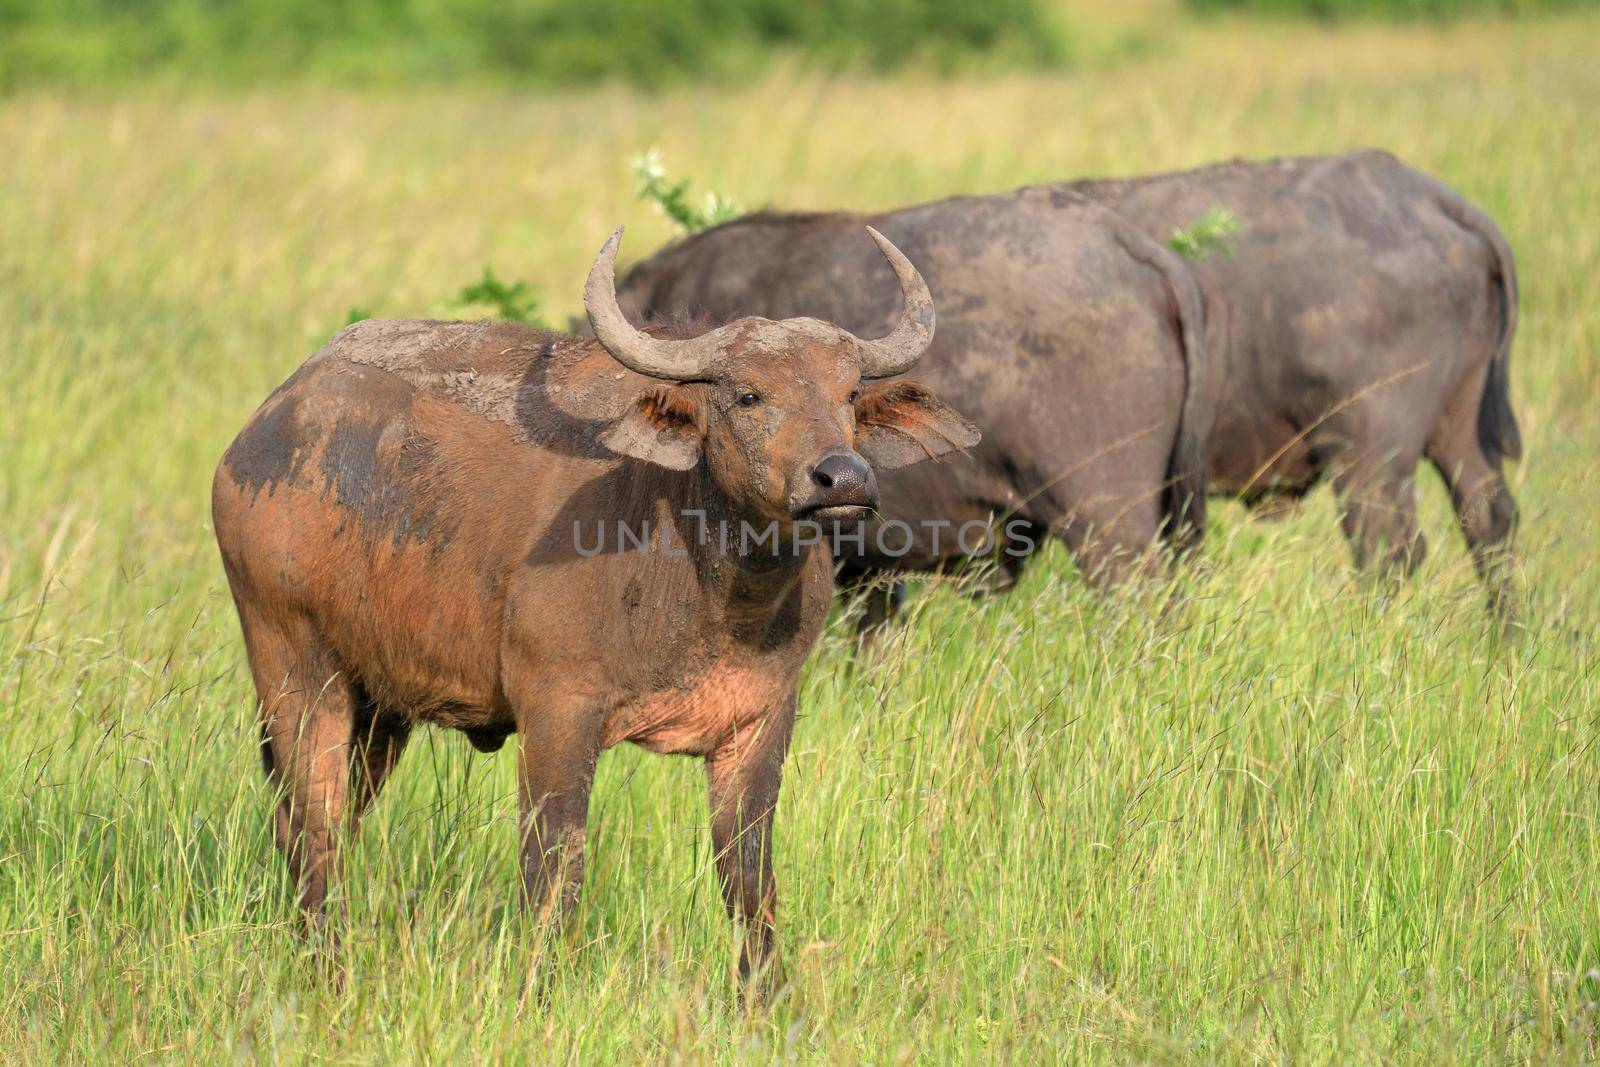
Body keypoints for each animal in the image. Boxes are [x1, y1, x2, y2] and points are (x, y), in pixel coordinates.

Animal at [212, 227, 972, 991]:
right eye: (749, 394)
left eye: (849, 393)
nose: (842, 477)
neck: (713, 588)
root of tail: (266, 424)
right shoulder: (558, 709)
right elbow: (554, 864)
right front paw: (538, 988)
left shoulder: (762, 716)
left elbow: (748, 873)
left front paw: (765, 996)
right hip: (296, 668)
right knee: (314, 822)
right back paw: (327, 967)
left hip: (381, 707)